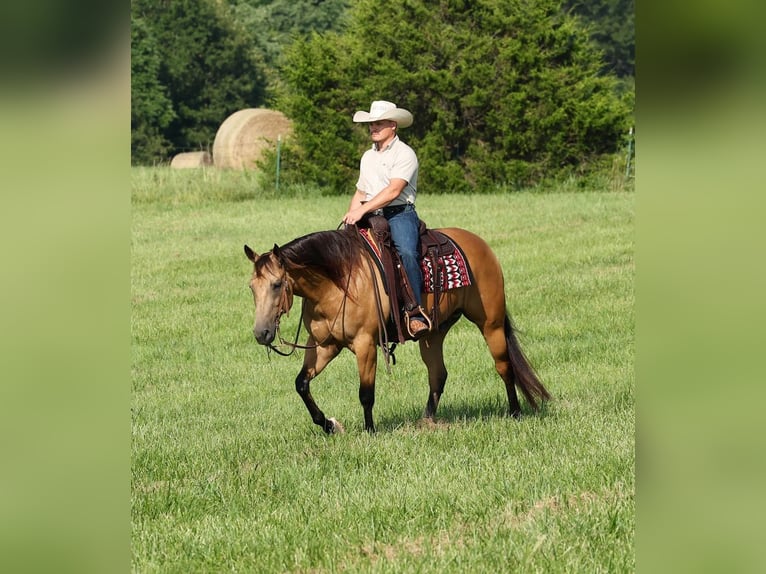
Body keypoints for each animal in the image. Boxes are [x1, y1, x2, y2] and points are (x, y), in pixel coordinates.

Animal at [244, 225, 549, 434]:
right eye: (251, 287)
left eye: (276, 284)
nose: (261, 334)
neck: (337, 283)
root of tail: (479, 244)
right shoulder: (325, 345)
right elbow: (302, 384)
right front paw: (329, 425)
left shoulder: (365, 344)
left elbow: (366, 393)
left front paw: (370, 431)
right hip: (434, 333)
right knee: (438, 374)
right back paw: (426, 420)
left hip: (491, 323)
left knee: (504, 366)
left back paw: (515, 413)